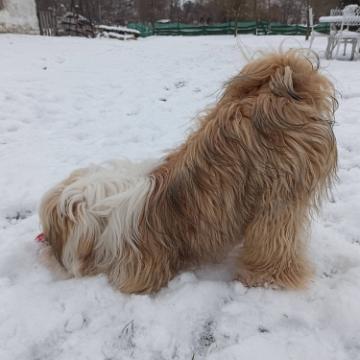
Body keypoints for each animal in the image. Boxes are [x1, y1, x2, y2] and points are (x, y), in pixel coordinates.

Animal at [38, 50, 338, 292]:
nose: (44, 244)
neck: (102, 210)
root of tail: (280, 89)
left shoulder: (140, 266)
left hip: (279, 194)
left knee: (274, 237)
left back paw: (266, 278)